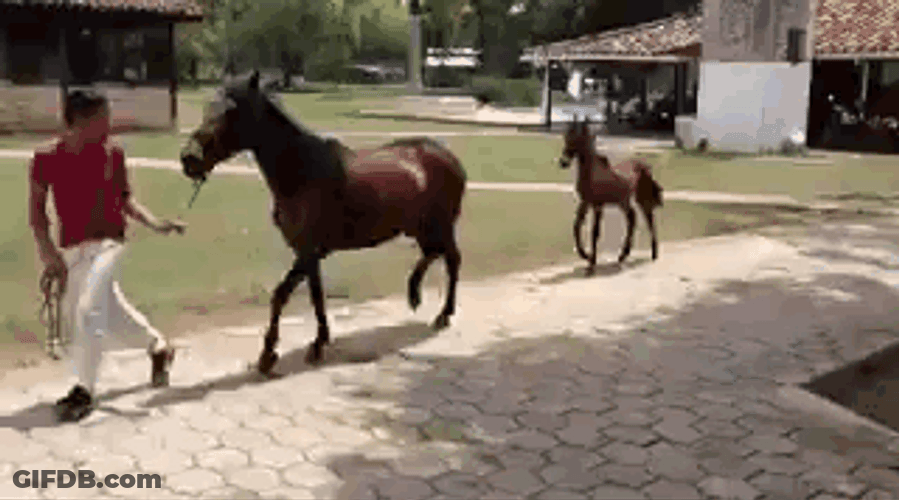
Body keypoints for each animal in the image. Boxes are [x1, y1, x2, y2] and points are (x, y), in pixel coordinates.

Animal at [179, 71, 467, 374]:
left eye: (232, 111)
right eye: (207, 107)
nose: (189, 159)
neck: (302, 172)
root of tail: (448, 156)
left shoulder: (309, 251)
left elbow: (298, 294)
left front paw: (297, 348)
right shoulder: (307, 252)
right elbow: (298, 294)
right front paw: (289, 348)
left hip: (441, 225)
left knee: (451, 259)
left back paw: (443, 314)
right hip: (420, 228)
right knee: (432, 253)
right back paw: (414, 294)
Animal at [559, 116, 663, 270]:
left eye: (577, 139)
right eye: (566, 137)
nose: (563, 162)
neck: (592, 173)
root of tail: (642, 164)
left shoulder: (598, 205)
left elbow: (595, 232)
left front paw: (591, 264)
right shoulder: (585, 202)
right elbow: (576, 226)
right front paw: (585, 255)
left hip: (635, 198)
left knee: (648, 219)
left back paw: (652, 253)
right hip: (624, 201)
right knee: (633, 218)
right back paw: (623, 255)